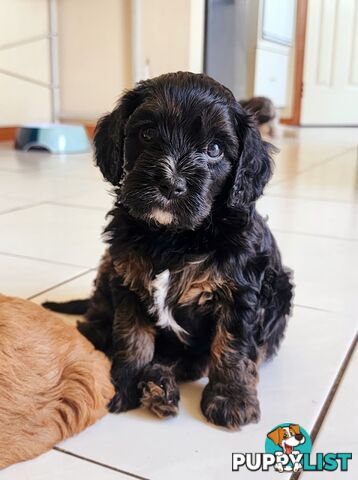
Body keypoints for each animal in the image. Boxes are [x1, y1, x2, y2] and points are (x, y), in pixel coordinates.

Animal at [44, 73, 292, 430]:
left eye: (214, 149)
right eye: (147, 133)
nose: (170, 184)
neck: (174, 237)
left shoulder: (240, 291)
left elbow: (233, 345)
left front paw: (231, 399)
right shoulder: (127, 279)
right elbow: (131, 337)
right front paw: (123, 384)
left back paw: (160, 387)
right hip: (106, 269)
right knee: (96, 320)